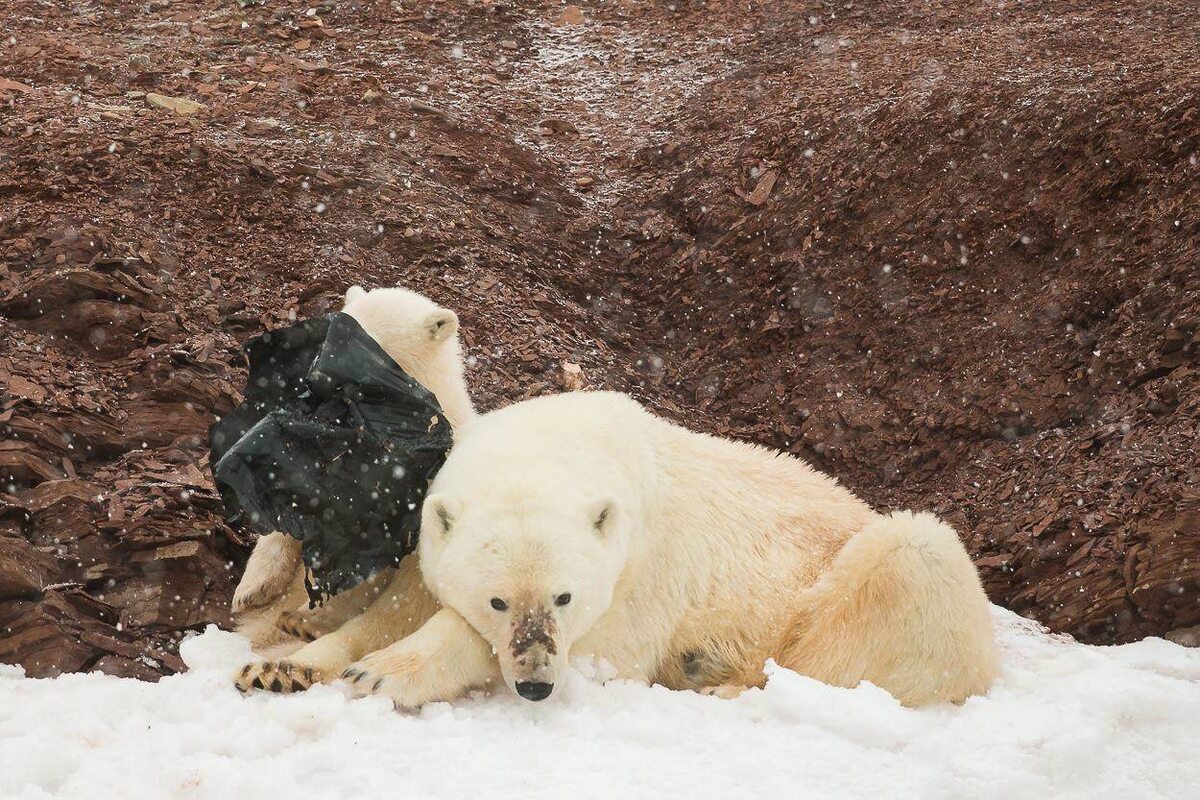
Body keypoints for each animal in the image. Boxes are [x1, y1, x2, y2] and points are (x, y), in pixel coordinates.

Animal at [238, 388, 998, 705]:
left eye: (565, 596)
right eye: (498, 599)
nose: (537, 686)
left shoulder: (642, 575)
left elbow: (606, 650)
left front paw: (382, 674)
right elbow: (400, 604)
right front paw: (282, 665)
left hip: (862, 577)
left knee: (904, 566)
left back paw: (724, 681)